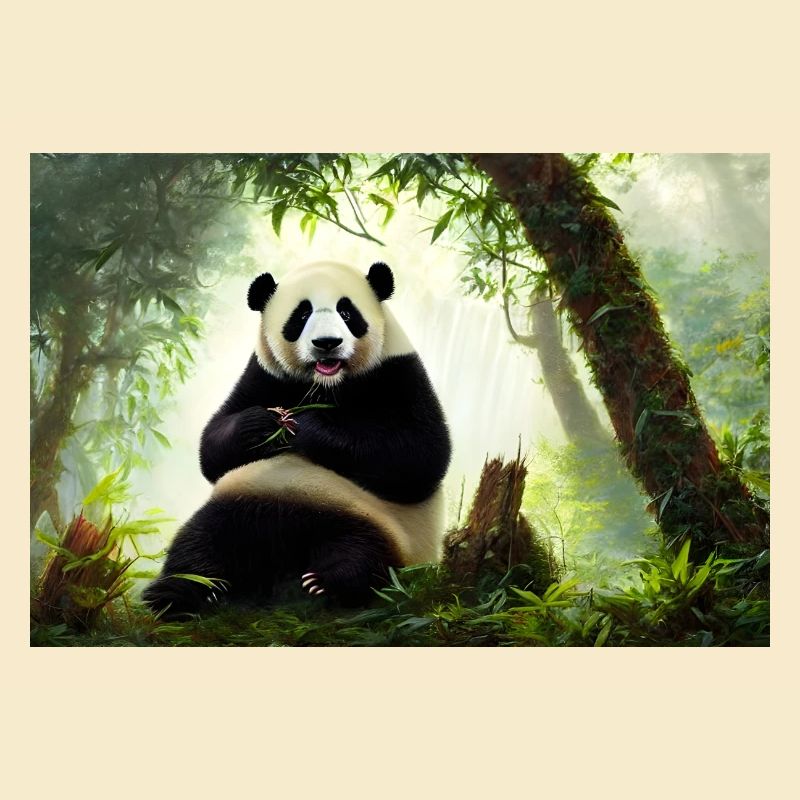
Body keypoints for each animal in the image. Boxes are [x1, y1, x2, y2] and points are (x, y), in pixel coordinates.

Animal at [143, 260, 451, 617]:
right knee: (198, 544)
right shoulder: (263, 374)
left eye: (347, 312)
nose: (327, 343)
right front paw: (264, 423)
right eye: (301, 315)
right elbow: (213, 449)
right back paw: (178, 593)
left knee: (367, 558)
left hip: (384, 528)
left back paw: (329, 583)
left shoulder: (399, 372)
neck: (326, 385)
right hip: (242, 503)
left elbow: (420, 455)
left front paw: (306, 426)